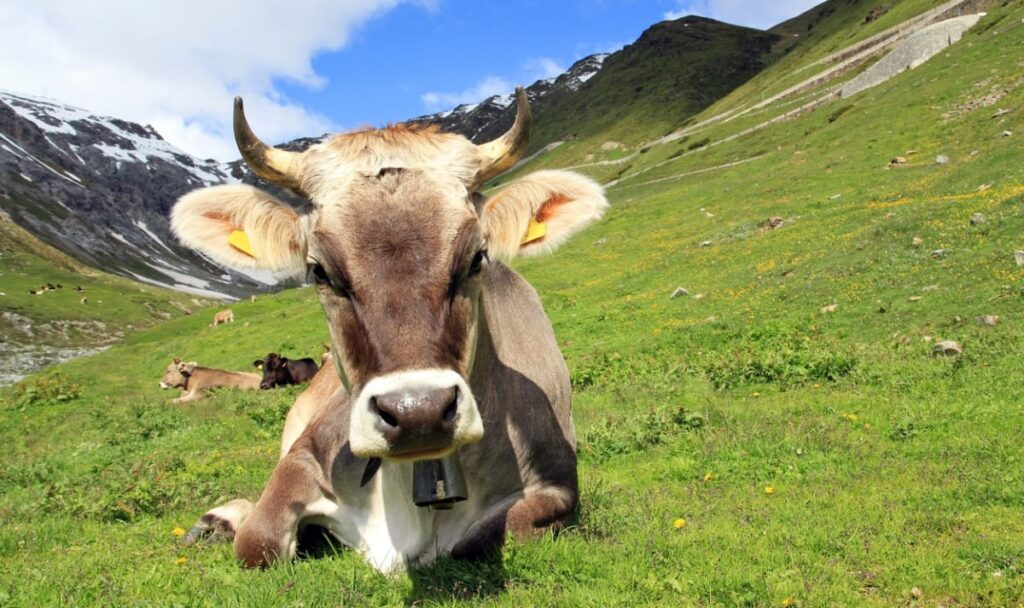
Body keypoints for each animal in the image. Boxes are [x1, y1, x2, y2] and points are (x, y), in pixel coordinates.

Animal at [170, 88, 607, 572]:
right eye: (319, 271)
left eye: (477, 256)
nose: (419, 413)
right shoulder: (307, 451)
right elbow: (258, 540)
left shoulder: (556, 486)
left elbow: (480, 540)